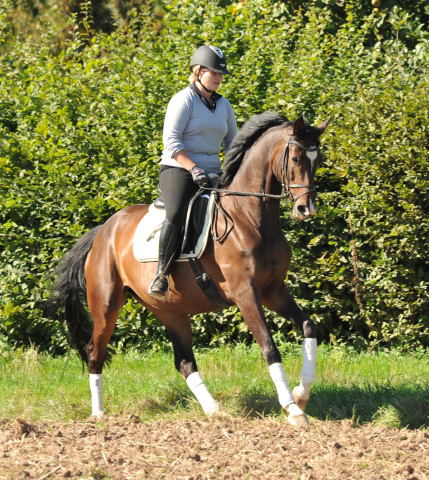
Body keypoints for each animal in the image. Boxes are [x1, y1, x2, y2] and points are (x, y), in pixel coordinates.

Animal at [51, 113, 330, 428]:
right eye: (296, 158)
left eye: (318, 159)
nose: (306, 209)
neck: (249, 217)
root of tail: (103, 231)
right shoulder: (246, 294)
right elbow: (269, 347)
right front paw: (292, 409)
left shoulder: (274, 291)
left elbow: (308, 326)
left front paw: (301, 394)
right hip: (106, 304)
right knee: (95, 352)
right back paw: (99, 415)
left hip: (170, 311)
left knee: (184, 361)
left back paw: (215, 410)